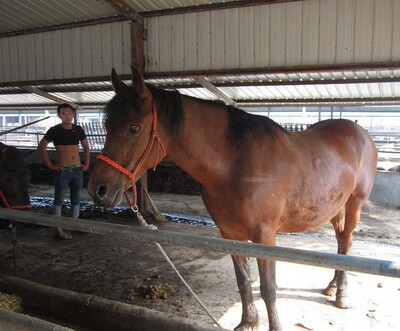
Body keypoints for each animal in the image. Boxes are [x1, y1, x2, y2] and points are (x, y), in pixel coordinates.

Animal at [88, 68, 378, 331]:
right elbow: (243, 280)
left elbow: (268, 288)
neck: (235, 163)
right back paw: (332, 286)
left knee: (347, 242)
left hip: (354, 203)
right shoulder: (230, 234)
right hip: (334, 207)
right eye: (107, 126)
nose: (98, 190)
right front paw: (247, 322)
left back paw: (341, 294)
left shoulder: (265, 237)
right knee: (340, 241)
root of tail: (360, 133)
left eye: (134, 127)